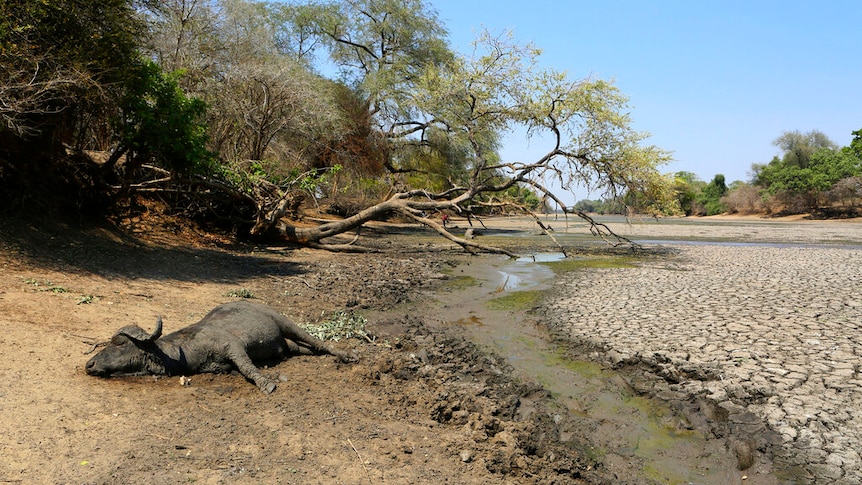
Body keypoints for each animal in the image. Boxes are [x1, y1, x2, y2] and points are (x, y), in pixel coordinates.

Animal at [84, 300, 348, 392]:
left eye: (119, 342)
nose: (90, 364)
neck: (186, 350)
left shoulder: (234, 347)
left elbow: (248, 368)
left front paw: (267, 384)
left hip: (285, 322)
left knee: (316, 341)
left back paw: (346, 355)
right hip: (288, 345)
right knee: (305, 349)